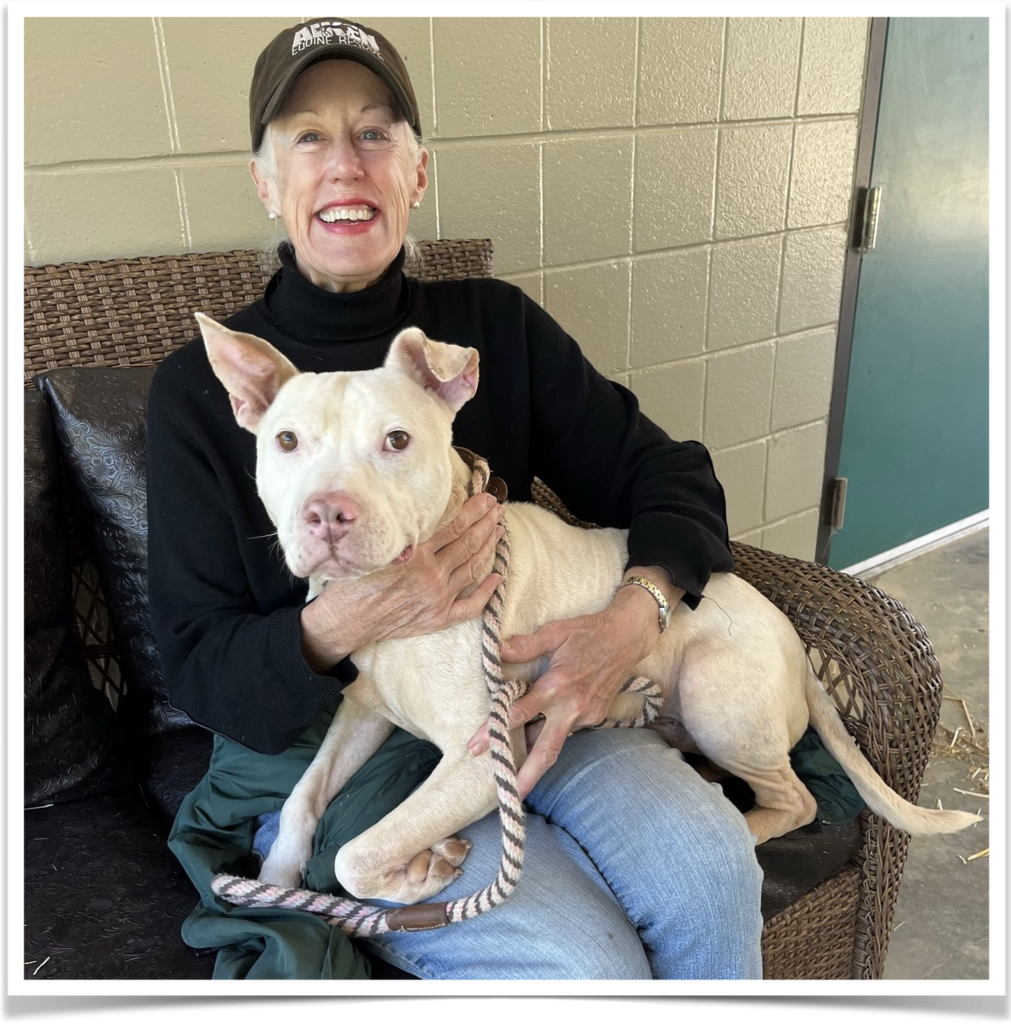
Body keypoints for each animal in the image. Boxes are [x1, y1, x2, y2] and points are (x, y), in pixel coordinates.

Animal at [193, 311, 975, 905]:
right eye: (286, 442)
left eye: (397, 440)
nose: (328, 513)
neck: (399, 609)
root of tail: (791, 639)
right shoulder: (361, 711)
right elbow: (301, 799)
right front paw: (276, 880)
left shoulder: (481, 763)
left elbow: (356, 855)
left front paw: (420, 871)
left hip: (717, 694)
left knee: (798, 800)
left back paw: (742, 819)